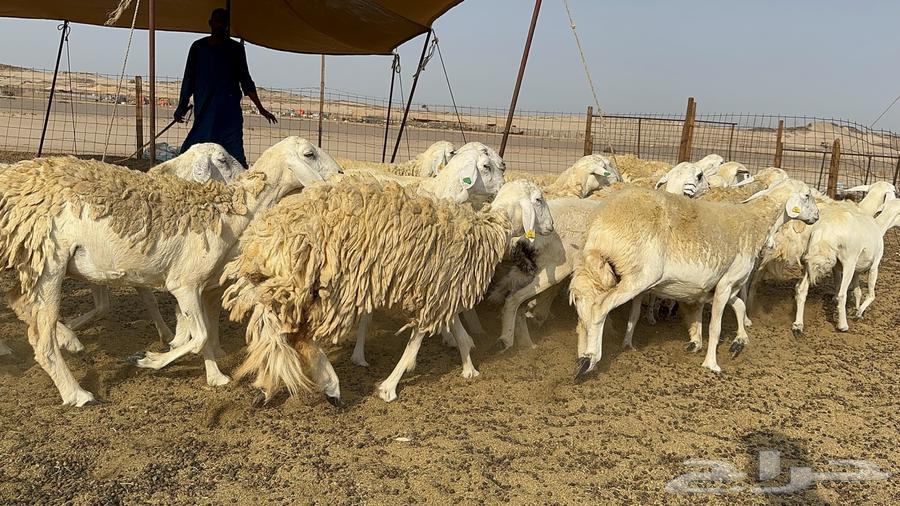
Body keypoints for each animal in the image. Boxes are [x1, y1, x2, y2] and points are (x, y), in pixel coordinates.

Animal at [0, 136, 342, 406]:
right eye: (309, 154)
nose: (340, 174)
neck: (224, 211)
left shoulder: (197, 285)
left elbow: (202, 332)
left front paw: (215, 377)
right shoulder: (183, 283)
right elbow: (199, 335)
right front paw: (147, 360)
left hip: (38, 265)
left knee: (22, 305)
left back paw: (68, 343)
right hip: (49, 264)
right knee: (41, 340)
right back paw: (78, 393)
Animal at [220, 178, 553, 405]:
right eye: (538, 199)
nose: (550, 228)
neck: (487, 231)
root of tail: (263, 239)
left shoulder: (442, 290)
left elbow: (455, 329)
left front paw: (469, 366)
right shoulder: (438, 291)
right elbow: (416, 341)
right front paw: (390, 386)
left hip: (284, 287)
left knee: (272, 331)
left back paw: (267, 385)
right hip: (326, 289)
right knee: (299, 337)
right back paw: (330, 385)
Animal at [569, 179, 819, 378]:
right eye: (807, 195)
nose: (816, 217)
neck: (755, 222)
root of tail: (601, 224)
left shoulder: (722, 286)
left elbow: (738, 306)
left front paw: (739, 342)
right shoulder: (727, 283)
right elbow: (716, 326)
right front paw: (711, 364)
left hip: (597, 270)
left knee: (585, 312)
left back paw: (586, 356)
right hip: (639, 275)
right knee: (600, 308)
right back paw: (591, 359)